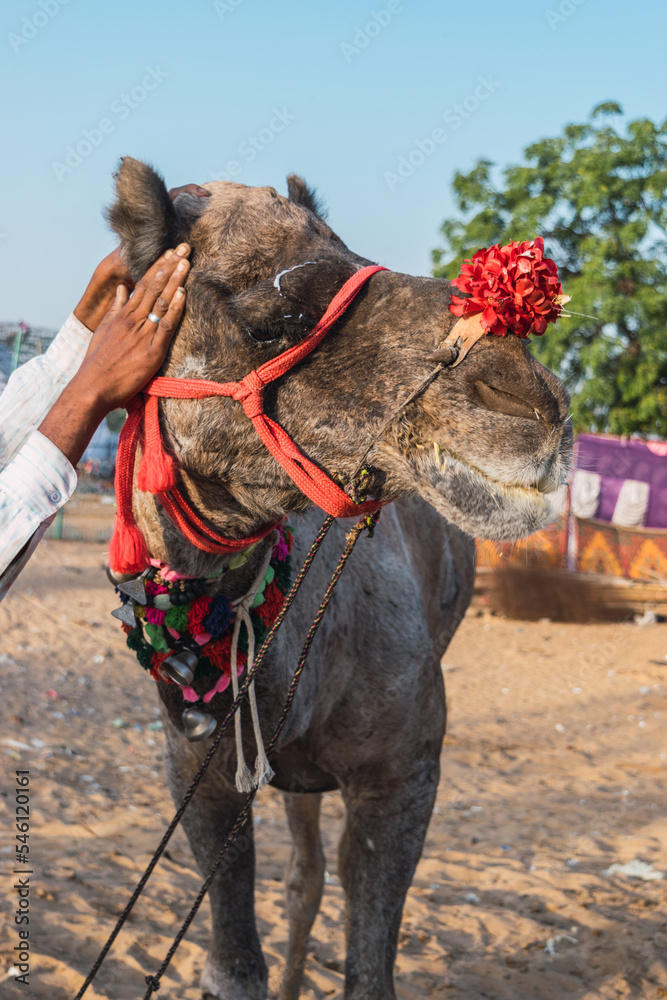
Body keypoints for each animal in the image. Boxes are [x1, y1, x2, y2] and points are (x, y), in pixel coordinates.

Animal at [107, 157, 571, 1000]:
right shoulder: (196, 768)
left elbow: (369, 970)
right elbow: (233, 965)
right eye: (266, 322)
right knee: (303, 875)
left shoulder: (404, 774)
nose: (534, 402)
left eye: (357, 256)